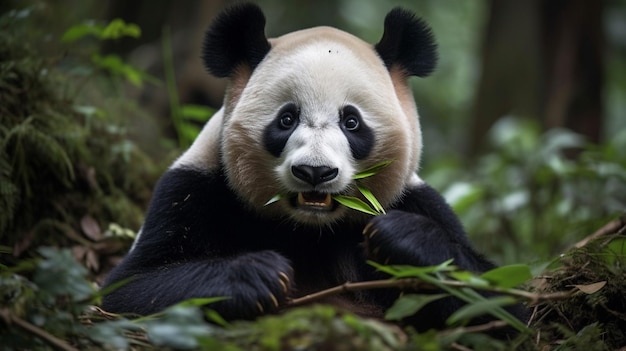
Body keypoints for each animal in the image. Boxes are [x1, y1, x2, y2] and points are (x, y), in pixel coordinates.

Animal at [101, 2, 520, 332]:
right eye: (286, 119)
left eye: (351, 122)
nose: (315, 172)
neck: (309, 229)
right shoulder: (194, 188)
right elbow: (129, 290)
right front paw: (258, 275)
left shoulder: (417, 199)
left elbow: (503, 303)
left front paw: (402, 238)